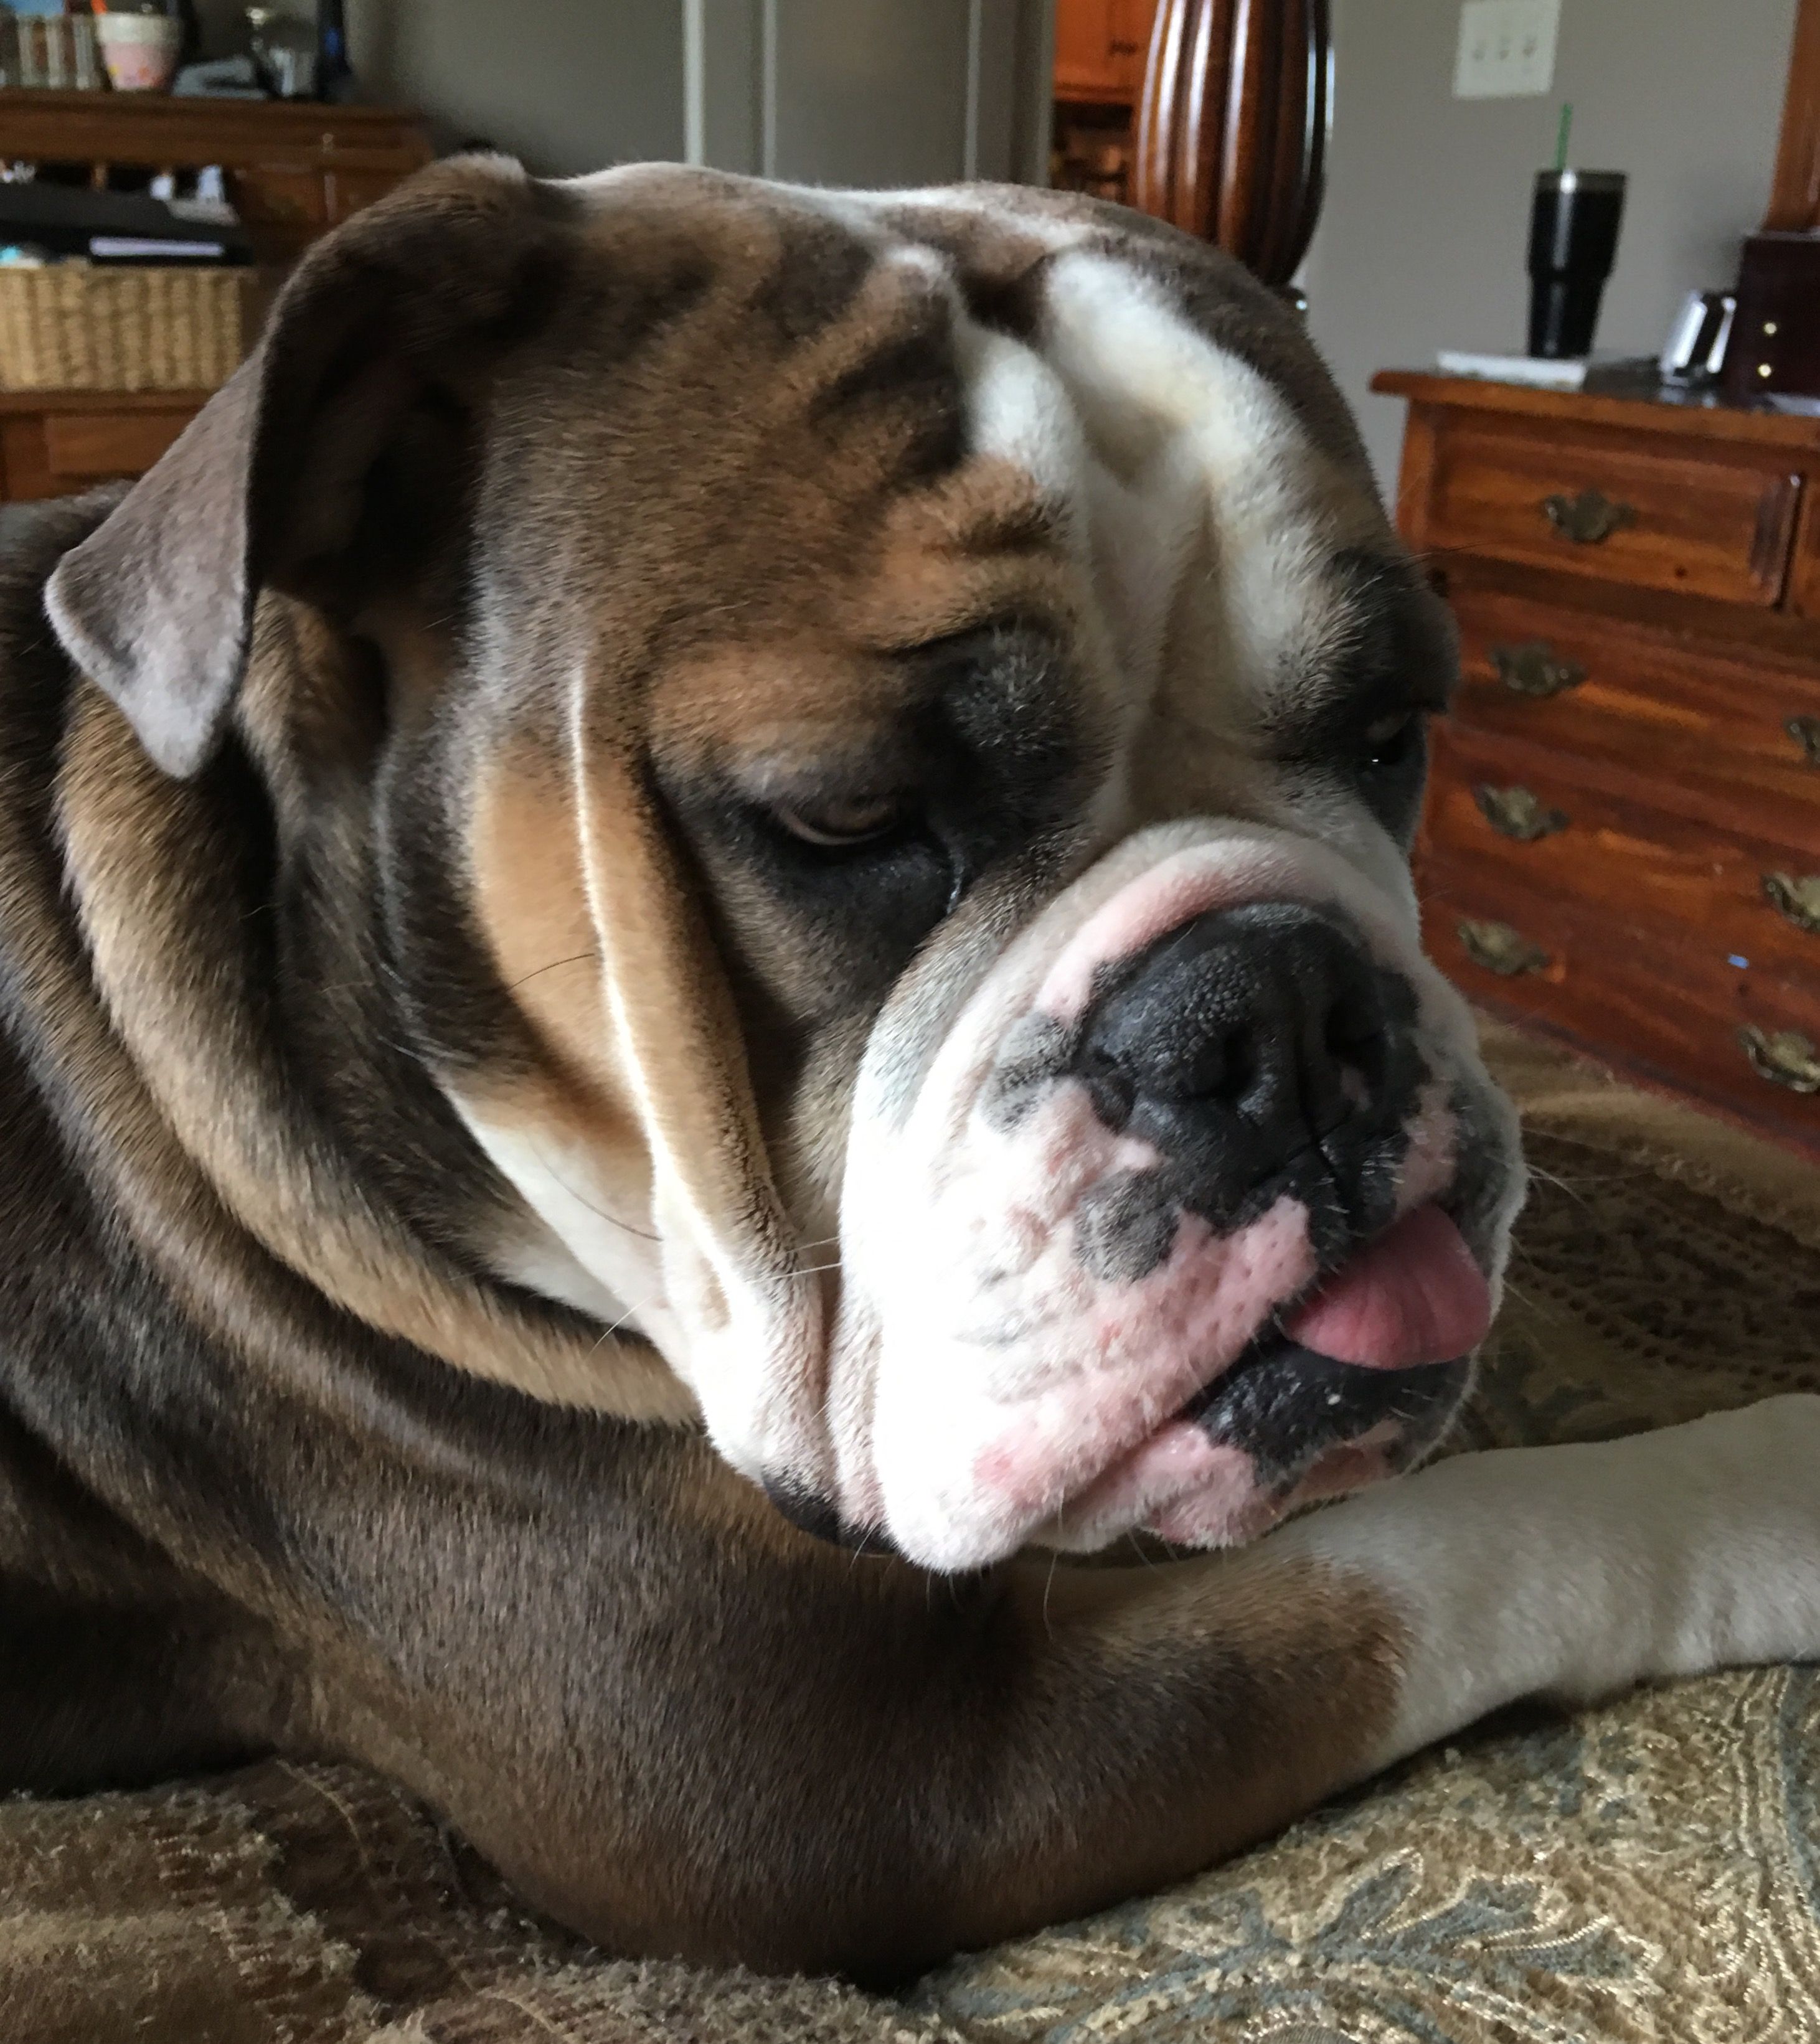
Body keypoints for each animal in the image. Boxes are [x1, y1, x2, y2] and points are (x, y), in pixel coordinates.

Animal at [5, 155, 1818, 1982]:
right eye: (844, 819)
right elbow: (1437, 1554)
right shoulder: (877, 1787)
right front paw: (1768, 1479)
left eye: (1394, 729)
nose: (1283, 1006)